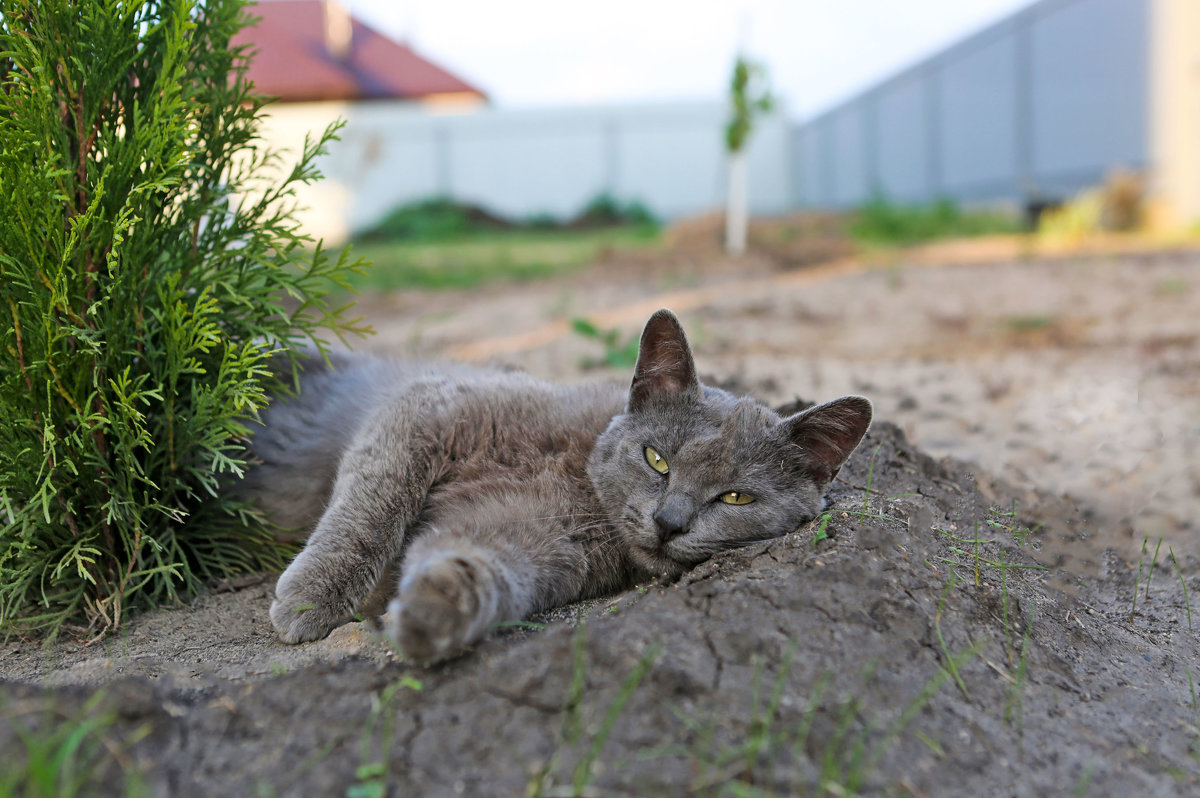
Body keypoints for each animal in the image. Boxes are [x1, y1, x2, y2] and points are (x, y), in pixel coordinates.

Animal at [250, 307, 873, 662]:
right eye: (657, 460)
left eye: (736, 497)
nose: (669, 523)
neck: (576, 481)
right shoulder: (430, 408)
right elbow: (371, 509)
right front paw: (310, 600)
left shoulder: (527, 536)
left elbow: (479, 564)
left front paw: (433, 611)